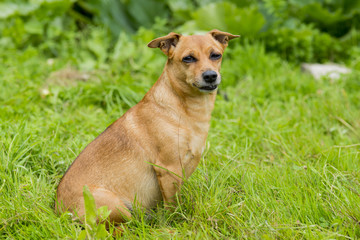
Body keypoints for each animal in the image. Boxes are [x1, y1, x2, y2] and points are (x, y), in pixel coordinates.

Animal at [55, 29, 239, 223]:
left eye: (216, 55)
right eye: (188, 58)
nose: (210, 75)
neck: (187, 109)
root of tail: (60, 211)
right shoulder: (168, 169)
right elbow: (173, 206)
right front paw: (174, 223)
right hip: (116, 206)